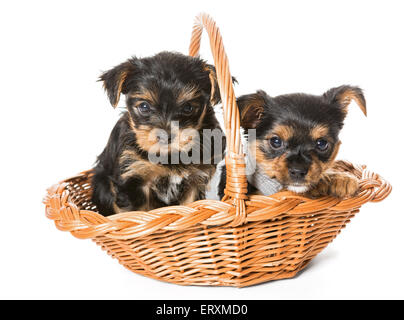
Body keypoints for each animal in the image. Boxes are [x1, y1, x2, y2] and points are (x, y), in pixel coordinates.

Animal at [90, 51, 227, 216]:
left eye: (188, 108)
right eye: (144, 106)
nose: (165, 136)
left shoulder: (196, 179)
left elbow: (190, 204)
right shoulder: (132, 179)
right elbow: (136, 211)